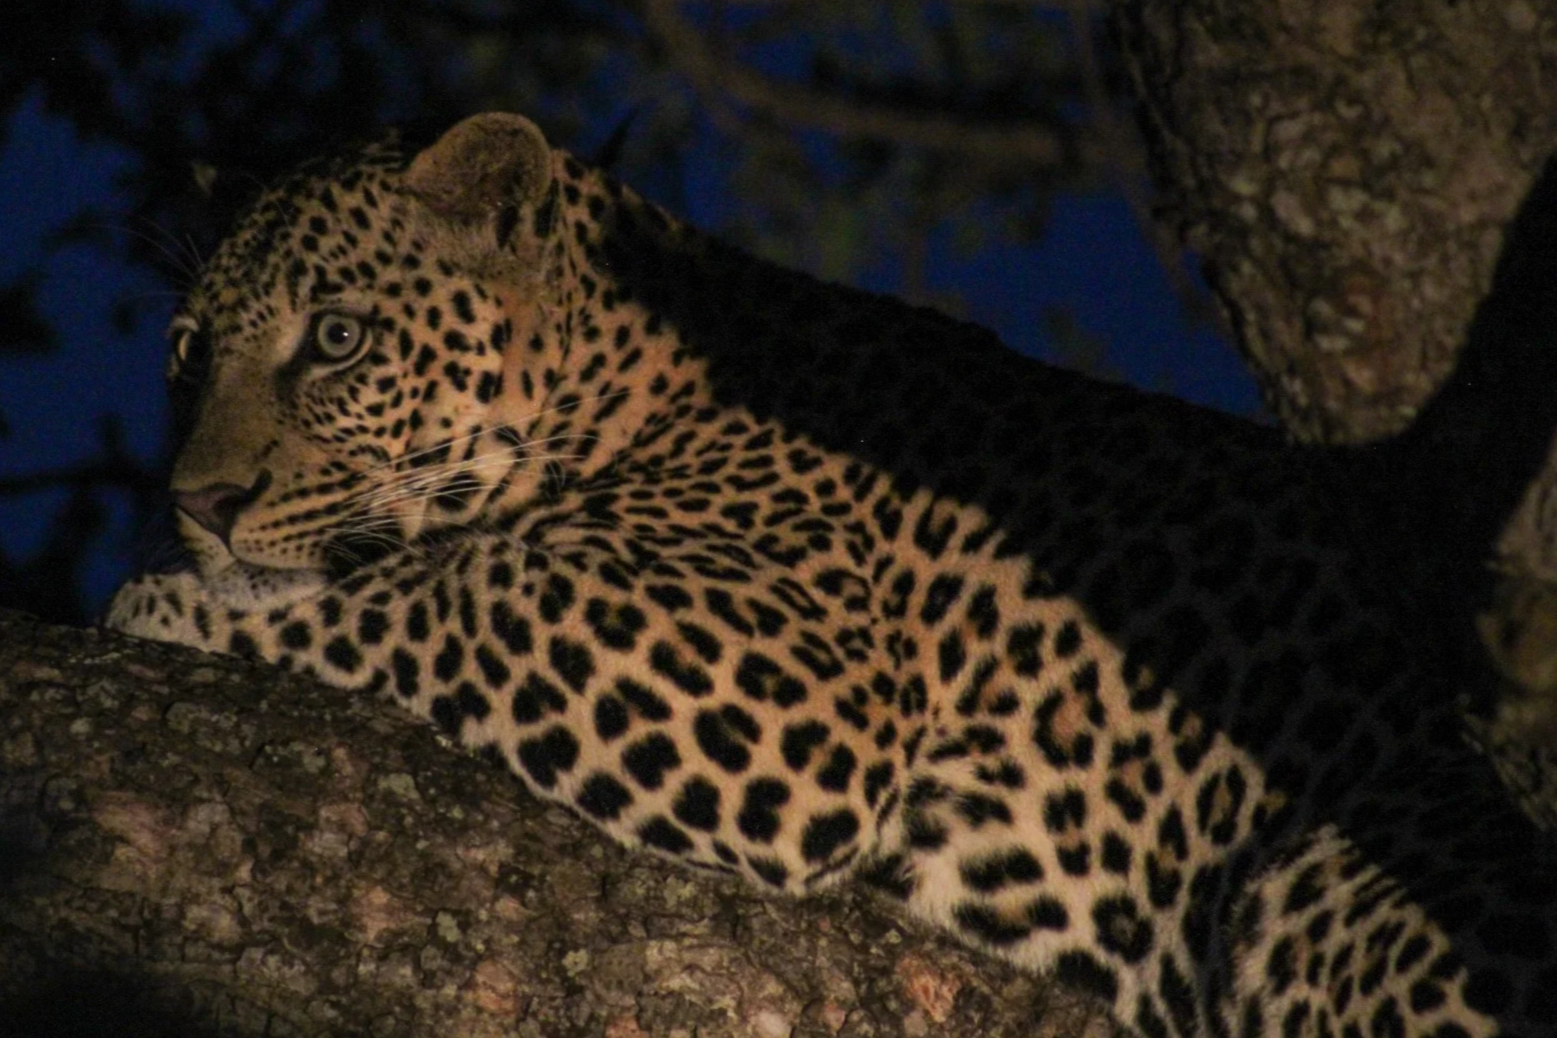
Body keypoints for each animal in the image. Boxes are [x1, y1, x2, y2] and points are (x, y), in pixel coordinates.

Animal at [107, 112, 1557, 1037]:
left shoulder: (787, 668)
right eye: (184, 352)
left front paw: (163, 605)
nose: (197, 506)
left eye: (338, 340)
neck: (623, 374)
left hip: (1323, 878)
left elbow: (444, 587)